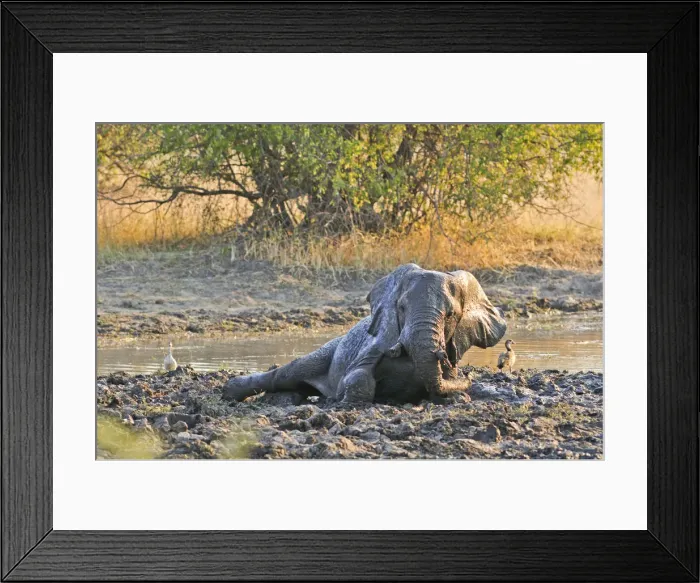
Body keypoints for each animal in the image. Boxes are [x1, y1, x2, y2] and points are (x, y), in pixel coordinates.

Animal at [222, 263, 507, 404]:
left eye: (450, 315)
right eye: (401, 308)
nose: (467, 374)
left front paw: (458, 394)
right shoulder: (378, 340)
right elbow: (357, 374)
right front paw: (350, 402)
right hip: (329, 349)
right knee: (289, 372)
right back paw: (232, 392)